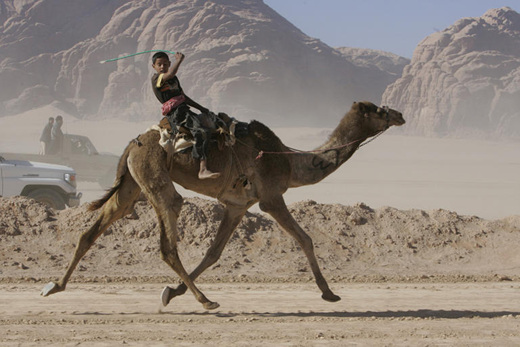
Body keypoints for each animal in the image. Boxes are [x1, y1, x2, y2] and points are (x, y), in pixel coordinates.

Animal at [41, 100, 406, 310]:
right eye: (378, 109)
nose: (400, 114)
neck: (290, 162)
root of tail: (132, 145)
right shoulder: (271, 198)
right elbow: (305, 238)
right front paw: (329, 293)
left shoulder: (238, 205)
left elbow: (213, 253)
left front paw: (174, 292)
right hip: (154, 175)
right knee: (168, 236)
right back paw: (206, 300)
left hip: (132, 182)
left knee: (93, 230)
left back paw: (54, 286)